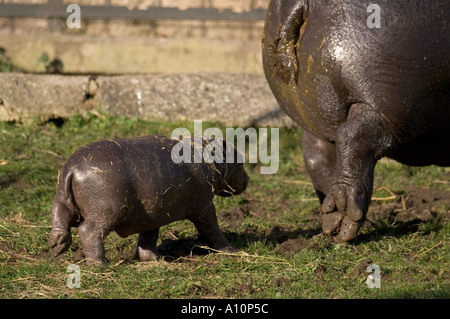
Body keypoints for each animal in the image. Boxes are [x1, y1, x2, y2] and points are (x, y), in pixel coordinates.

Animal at [48, 135, 250, 264]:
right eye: (239, 159)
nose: (248, 179)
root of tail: (71, 169)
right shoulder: (204, 206)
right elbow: (212, 229)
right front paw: (232, 250)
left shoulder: (153, 213)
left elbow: (148, 236)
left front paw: (152, 259)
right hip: (107, 210)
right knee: (89, 231)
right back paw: (100, 264)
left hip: (62, 199)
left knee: (59, 219)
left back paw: (55, 248)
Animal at [262, 0, 448, 242]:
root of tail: (297, 4)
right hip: (382, 110)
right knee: (354, 138)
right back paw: (350, 224)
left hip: (312, 116)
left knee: (317, 156)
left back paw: (334, 220)